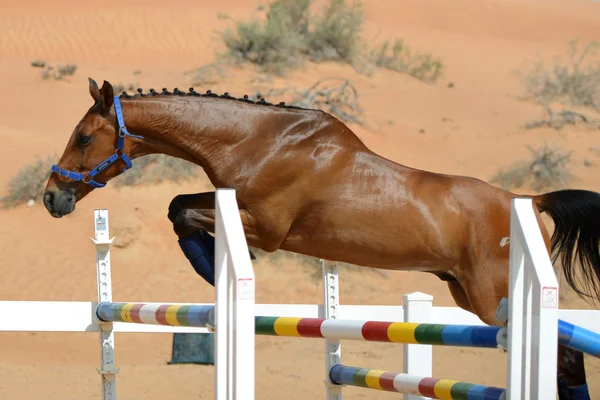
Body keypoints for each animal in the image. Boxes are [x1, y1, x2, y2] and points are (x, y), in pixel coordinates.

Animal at [43, 78, 600, 396]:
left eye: (85, 138)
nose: (52, 198)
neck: (256, 141)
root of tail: (529, 200)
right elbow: (179, 207)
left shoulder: (266, 227)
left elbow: (184, 213)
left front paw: (221, 272)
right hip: (466, 292)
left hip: (494, 296)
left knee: (565, 354)